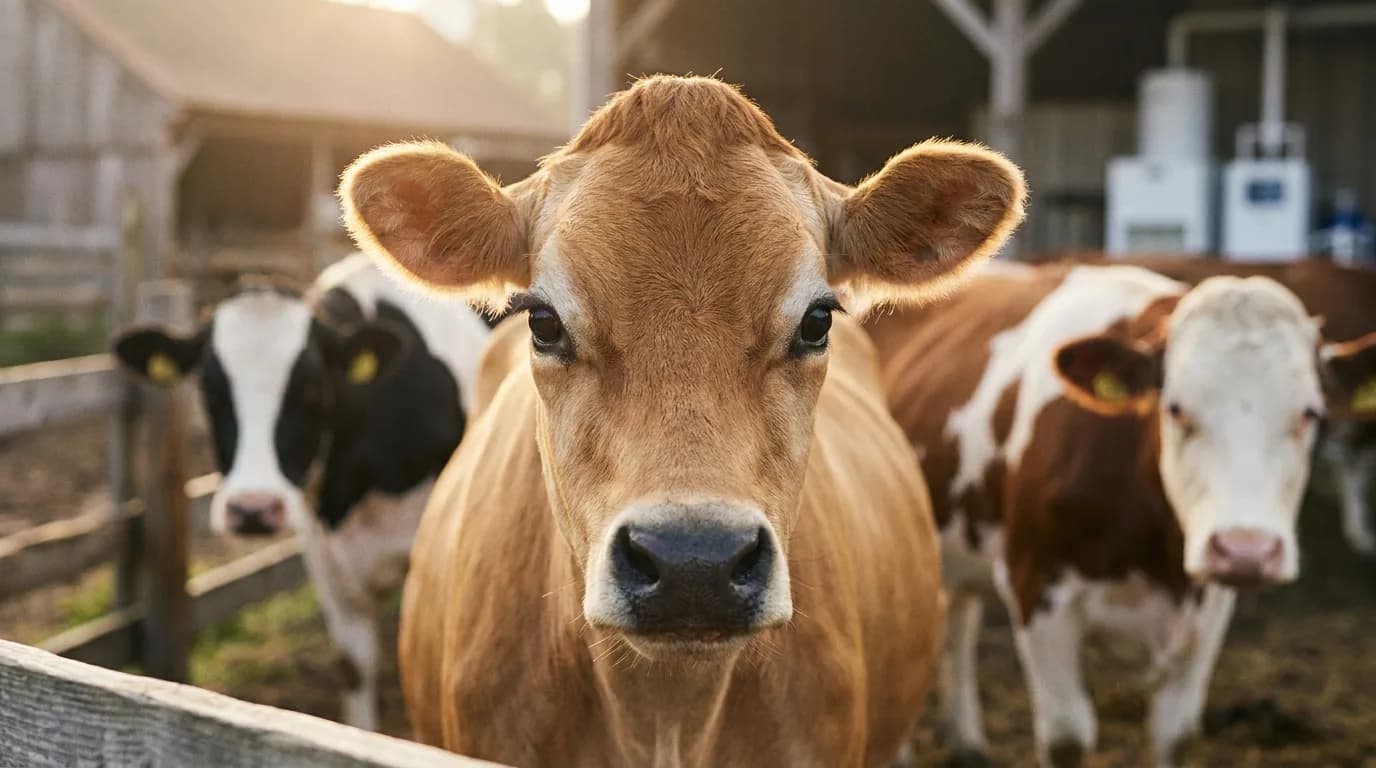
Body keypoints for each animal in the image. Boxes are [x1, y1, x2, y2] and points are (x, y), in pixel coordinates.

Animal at [866, 262, 1376, 767]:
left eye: (1310, 413)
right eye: (1175, 408)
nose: (1245, 551)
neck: (1157, 558)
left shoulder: (1210, 606)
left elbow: (1177, 735)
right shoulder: (1036, 585)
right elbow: (1067, 737)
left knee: (959, 618)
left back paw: (966, 739)